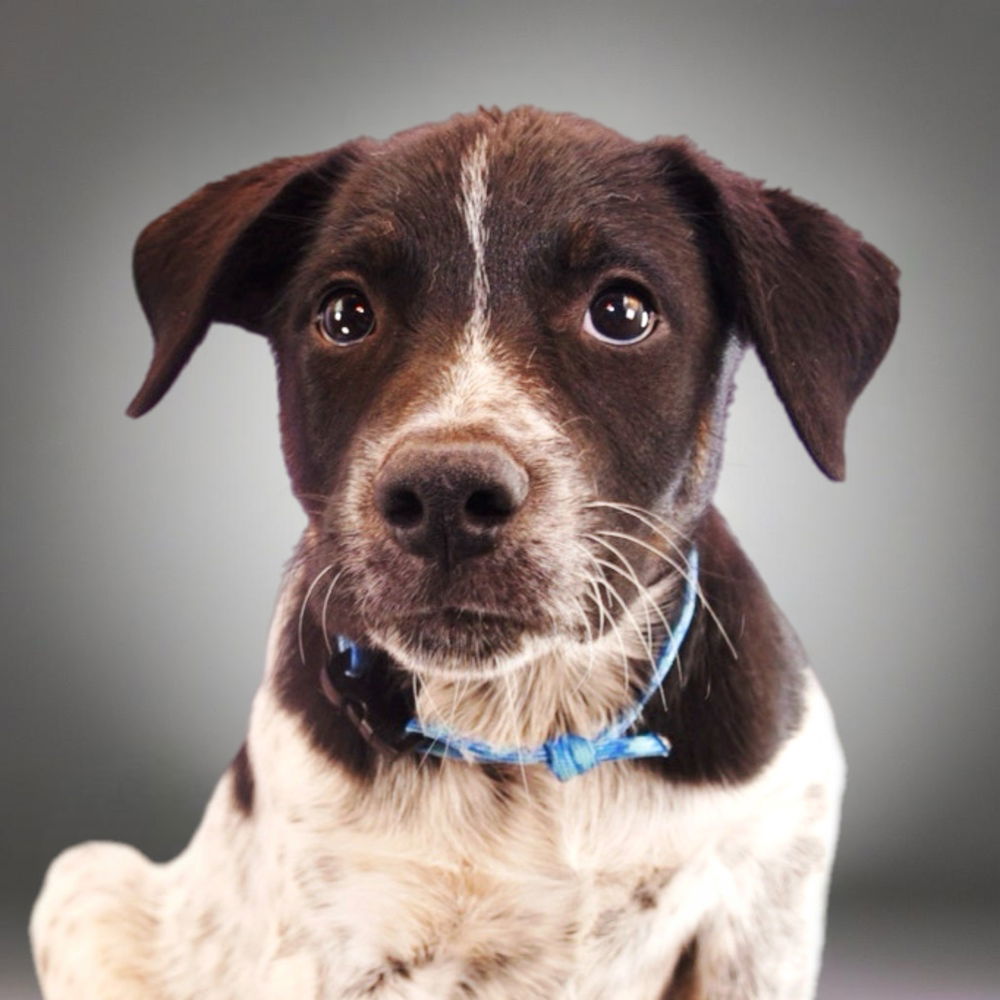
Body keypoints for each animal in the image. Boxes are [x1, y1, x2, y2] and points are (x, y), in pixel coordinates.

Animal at [31, 109, 900, 1000]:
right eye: (345, 315)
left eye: (622, 312)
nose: (445, 496)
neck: (534, 721)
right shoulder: (330, 945)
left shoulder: (765, 910)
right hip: (85, 879)